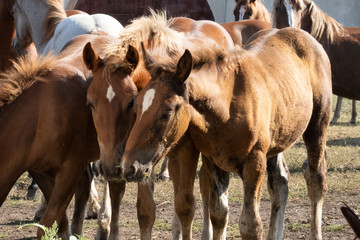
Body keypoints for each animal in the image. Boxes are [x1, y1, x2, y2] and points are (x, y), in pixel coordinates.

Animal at [120, 24, 332, 240]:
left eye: (167, 112)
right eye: (136, 106)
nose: (129, 167)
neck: (227, 107)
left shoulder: (255, 162)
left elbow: (250, 225)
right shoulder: (213, 160)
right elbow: (219, 214)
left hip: (317, 126)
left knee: (316, 180)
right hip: (278, 138)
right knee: (280, 183)